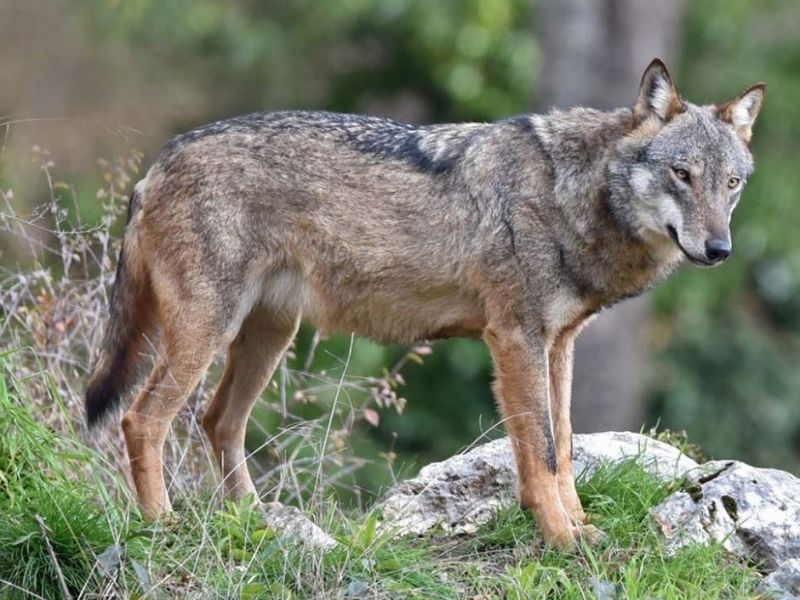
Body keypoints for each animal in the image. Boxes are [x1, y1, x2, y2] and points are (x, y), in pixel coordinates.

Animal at [86, 59, 763, 548]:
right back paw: (161, 526)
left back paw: (257, 523)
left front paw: (579, 527)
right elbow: (541, 453)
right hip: (209, 333)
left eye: (731, 184)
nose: (720, 249)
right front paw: (561, 540)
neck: (572, 194)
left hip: (268, 338)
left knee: (217, 421)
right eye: (681, 174)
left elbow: (564, 447)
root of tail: (156, 166)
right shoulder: (515, 338)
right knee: (142, 419)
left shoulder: (559, 343)